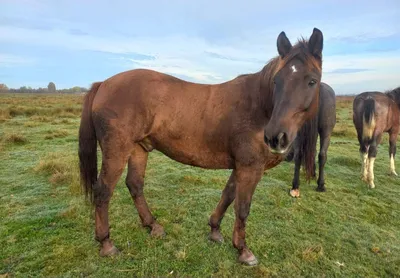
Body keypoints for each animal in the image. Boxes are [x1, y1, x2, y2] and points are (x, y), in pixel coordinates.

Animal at [78, 27, 324, 264]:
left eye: (312, 81)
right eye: (276, 81)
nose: (275, 137)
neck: (260, 107)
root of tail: (103, 84)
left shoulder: (240, 166)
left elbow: (228, 196)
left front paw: (215, 231)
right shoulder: (250, 167)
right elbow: (242, 208)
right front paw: (243, 250)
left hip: (139, 148)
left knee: (135, 185)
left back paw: (153, 226)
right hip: (117, 150)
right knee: (103, 191)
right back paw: (106, 244)